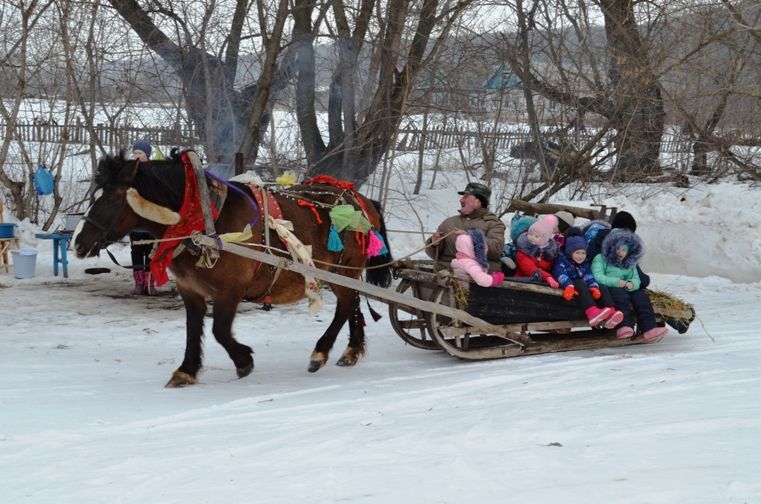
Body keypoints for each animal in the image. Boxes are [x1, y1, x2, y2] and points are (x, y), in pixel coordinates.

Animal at [74, 150, 392, 386]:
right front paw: (186, 370)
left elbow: (220, 331)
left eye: (113, 197)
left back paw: (320, 353)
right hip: (345, 274)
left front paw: (244, 361)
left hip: (342, 272)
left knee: (345, 306)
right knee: (353, 305)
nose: (78, 242)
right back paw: (351, 351)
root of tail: (361, 199)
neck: (203, 218)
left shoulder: (230, 290)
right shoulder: (190, 290)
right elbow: (193, 329)